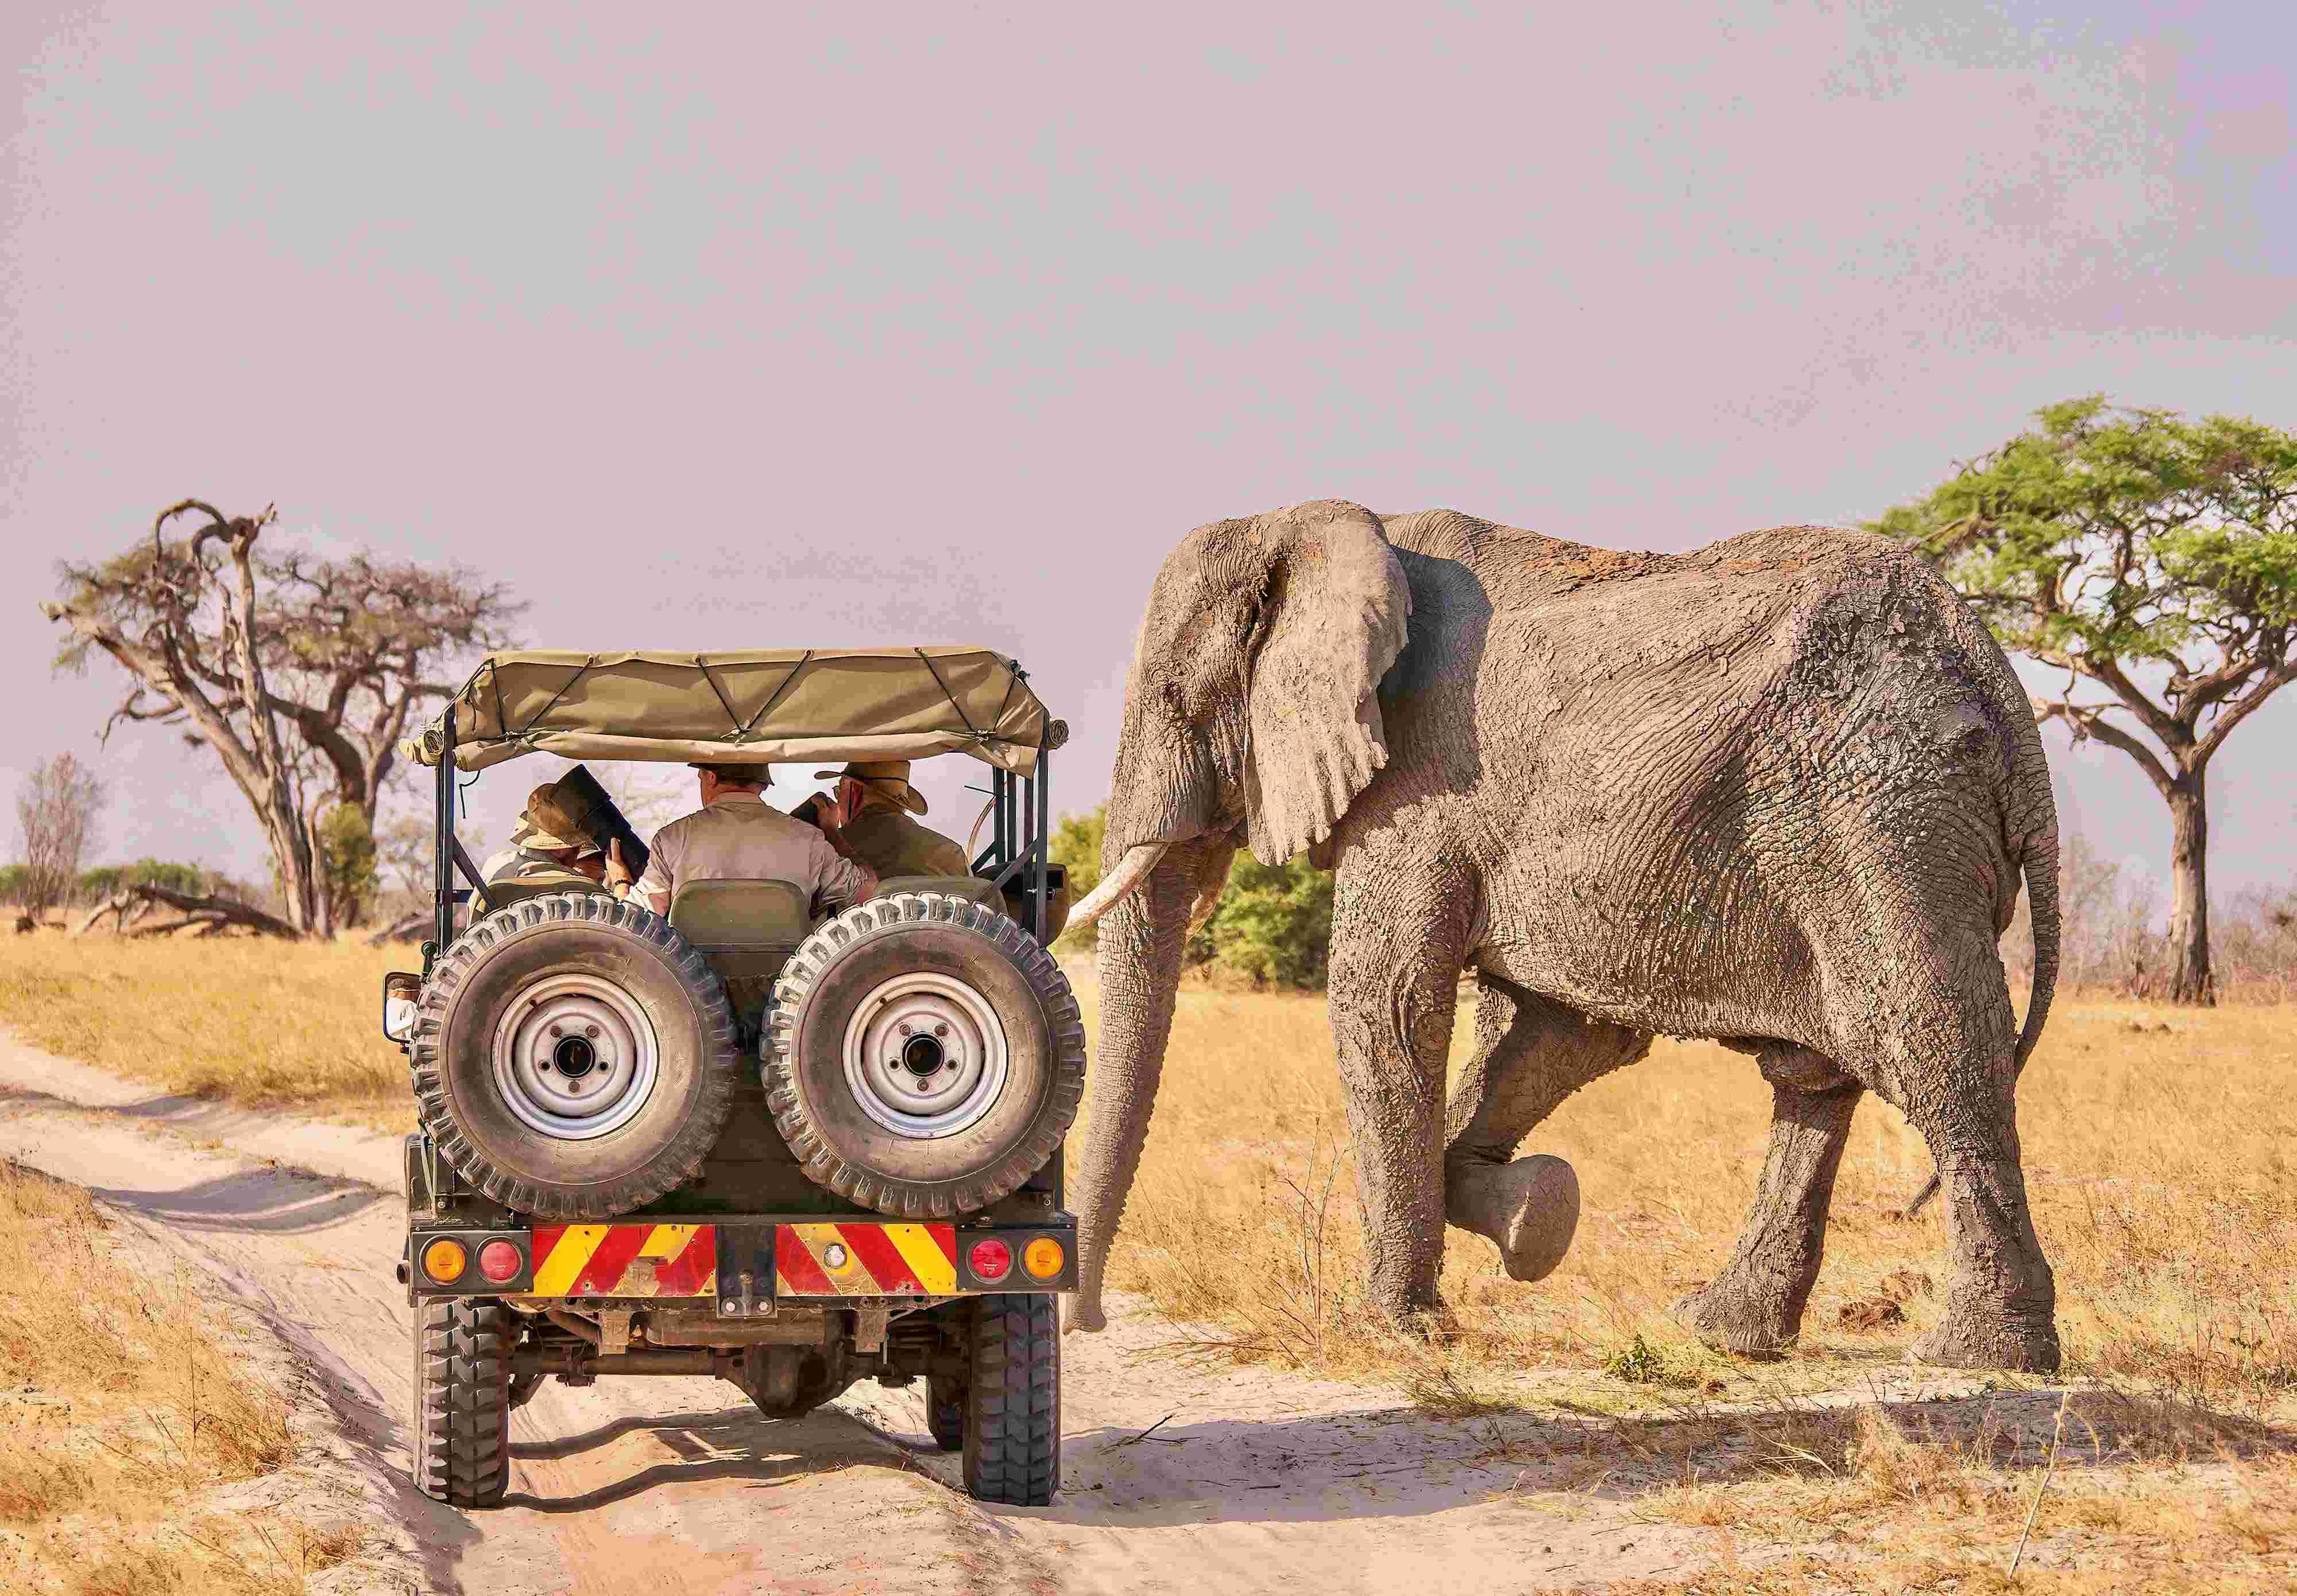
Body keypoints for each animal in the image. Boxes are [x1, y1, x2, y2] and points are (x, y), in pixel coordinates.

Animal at [1063, 500, 2063, 1372]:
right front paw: (1535, 1216)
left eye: (1178, 698)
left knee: (1925, 1045)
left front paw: (1397, 1330)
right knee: (1816, 1076)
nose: (1089, 1321)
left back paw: (1979, 1359)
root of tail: (1997, 681)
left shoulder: (1423, 786)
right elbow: (1563, 1034)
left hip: (1884, 811)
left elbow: (1385, 1004)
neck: (1329, 529)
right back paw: (1720, 1332)